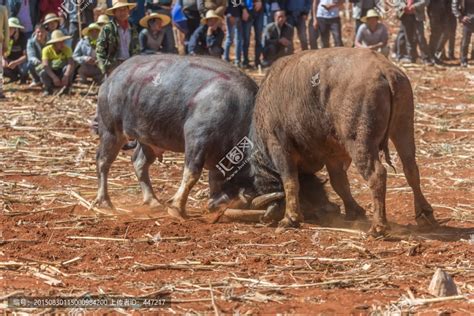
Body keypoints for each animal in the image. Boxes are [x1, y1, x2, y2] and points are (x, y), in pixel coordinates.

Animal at [93, 53, 260, 217]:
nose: (216, 205)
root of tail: (110, 79)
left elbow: (214, 176)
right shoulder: (197, 138)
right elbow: (192, 174)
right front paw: (177, 207)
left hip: (147, 138)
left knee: (139, 162)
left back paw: (152, 200)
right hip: (110, 131)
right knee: (103, 161)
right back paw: (104, 201)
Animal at [250, 47, 438, 235]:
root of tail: (384, 69)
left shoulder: (280, 148)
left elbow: (291, 182)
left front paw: (290, 218)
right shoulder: (333, 155)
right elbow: (339, 183)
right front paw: (354, 211)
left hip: (360, 142)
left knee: (377, 175)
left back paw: (378, 226)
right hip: (403, 128)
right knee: (411, 168)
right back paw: (424, 214)